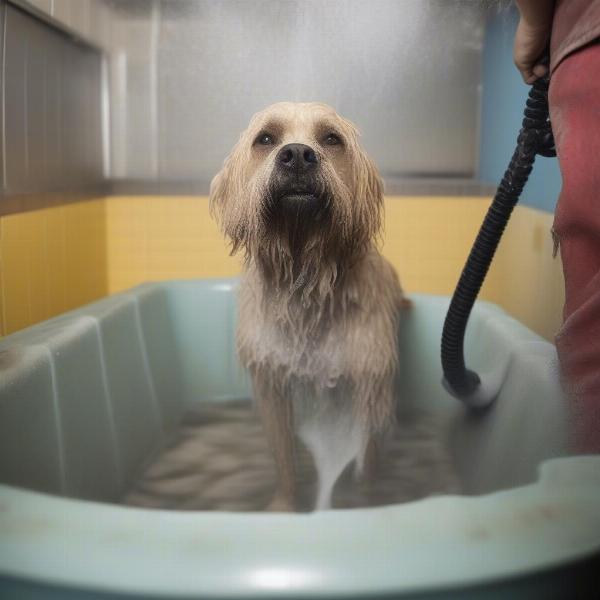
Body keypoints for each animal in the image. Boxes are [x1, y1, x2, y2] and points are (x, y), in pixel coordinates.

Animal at [210, 103, 408, 510]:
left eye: (331, 138)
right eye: (266, 138)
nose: (298, 154)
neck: (306, 283)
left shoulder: (369, 385)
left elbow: (366, 464)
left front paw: (365, 503)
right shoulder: (272, 383)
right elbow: (284, 457)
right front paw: (285, 505)